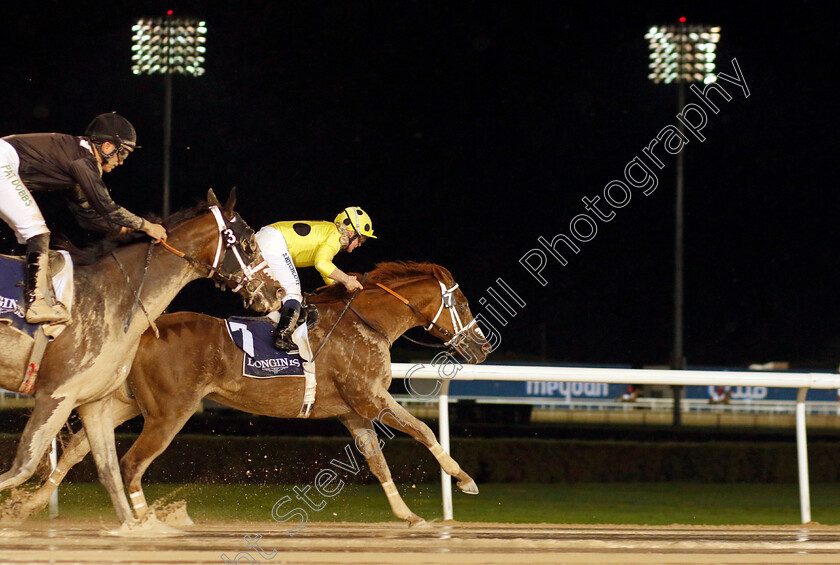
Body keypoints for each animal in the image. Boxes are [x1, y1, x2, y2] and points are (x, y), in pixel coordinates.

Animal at [0, 191, 282, 528]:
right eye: (250, 241)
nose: (277, 292)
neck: (109, 295)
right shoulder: (55, 394)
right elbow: (22, 468)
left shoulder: (92, 400)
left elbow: (108, 471)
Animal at [8, 262, 492, 528]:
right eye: (463, 303)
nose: (482, 346)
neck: (366, 323)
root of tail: (142, 331)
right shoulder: (369, 400)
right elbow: (423, 430)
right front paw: (465, 480)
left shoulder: (353, 411)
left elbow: (378, 462)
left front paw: (407, 514)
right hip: (169, 412)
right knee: (130, 462)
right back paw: (144, 523)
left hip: (129, 401)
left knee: (80, 446)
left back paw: (28, 504)